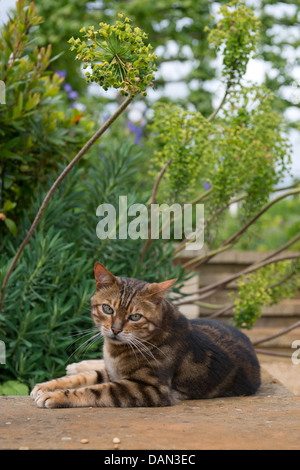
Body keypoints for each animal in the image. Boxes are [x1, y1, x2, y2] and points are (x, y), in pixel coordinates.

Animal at [31, 260, 260, 408]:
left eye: (135, 317)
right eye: (107, 309)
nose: (115, 329)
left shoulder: (149, 388)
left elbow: (95, 390)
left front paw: (56, 396)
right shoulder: (113, 371)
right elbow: (85, 377)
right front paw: (47, 386)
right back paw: (76, 365)